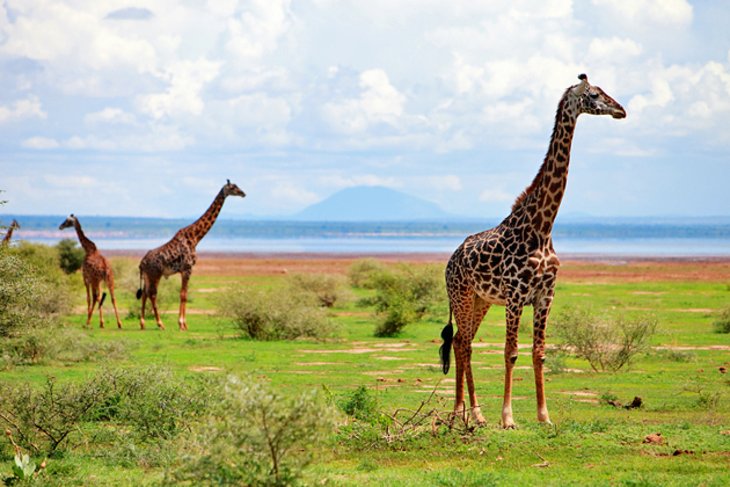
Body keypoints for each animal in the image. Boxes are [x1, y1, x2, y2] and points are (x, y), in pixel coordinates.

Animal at [136, 179, 247, 332]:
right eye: (233, 187)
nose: (243, 193)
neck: (196, 237)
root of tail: (142, 262)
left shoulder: (185, 270)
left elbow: (184, 293)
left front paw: (184, 324)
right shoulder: (187, 268)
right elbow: (183, 294)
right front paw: (182, 324)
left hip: (148, 276)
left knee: (145, 294)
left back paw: (142, 324)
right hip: (155, 274)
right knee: (152, 294)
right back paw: (160, 324)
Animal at [438, 74, 624, 428]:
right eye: (595, 94)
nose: (621, 110)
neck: (542, 227)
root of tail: (450, 261)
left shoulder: (545, 295)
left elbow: (539, 353)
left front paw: (543, 416)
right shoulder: (515, 294)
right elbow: (511, 353)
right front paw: (508, 418)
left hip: (482, 300)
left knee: (461, 342)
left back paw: (476, 414)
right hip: (462, 296)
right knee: (462, 344)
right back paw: (459, 413)